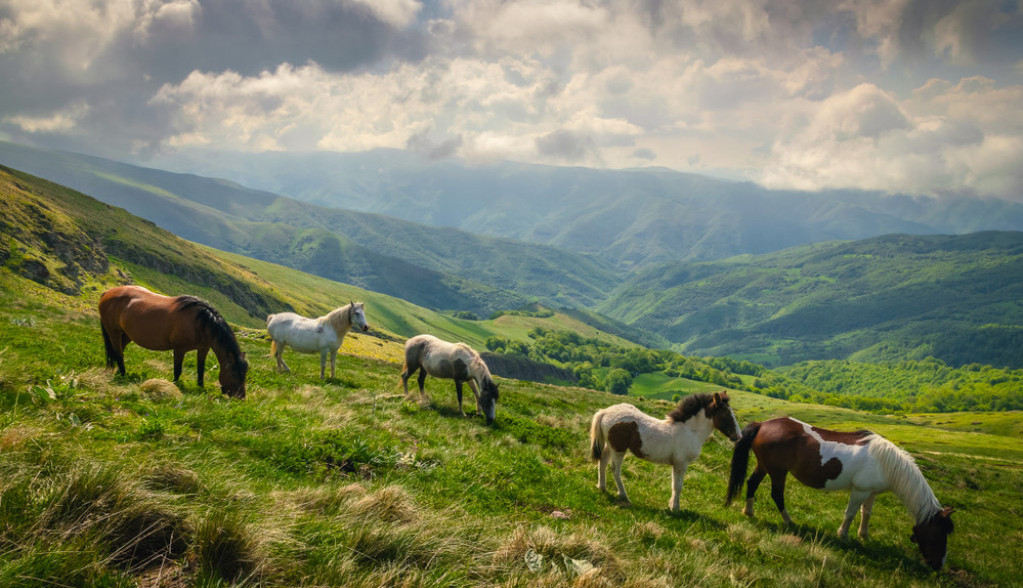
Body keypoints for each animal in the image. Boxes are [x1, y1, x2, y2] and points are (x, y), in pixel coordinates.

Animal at [98, 286, 249, 400]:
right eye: (235, 374)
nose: (241, 397)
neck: (200, 323)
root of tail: (107, 293)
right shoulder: (179, 349)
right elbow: (178, 370)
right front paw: (175, 386)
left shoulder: (203, 348)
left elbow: (200, 368)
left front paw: (201, 387)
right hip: (113, 332)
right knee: (118, 353)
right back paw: (123, 375)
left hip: (127, 334)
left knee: (119, 350)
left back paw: (117, 371)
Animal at [593, 392, 744, 513]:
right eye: (726, 413)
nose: (738, 436)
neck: (690, 431)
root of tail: (605, 412)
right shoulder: (681, 463)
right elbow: (678, 486)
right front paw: (675, 509)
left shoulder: (676, 464)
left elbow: (673, 485)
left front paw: (671, 506)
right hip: (618, 449)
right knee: (615, 469)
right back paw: (624, 495)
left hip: (610, 446)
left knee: (603, 461)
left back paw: (602, 487)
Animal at [724, 417, 953, 572]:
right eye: (939, 533)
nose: (938, 565)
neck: (884, 462)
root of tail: (763, 424)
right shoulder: (860, 491)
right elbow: (850, 514)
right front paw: (843, 535)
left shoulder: (871, 493)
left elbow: (866, 513)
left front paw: (864, 535)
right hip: (778, 472)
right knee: (777, 494)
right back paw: (789, 521)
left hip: (764, 466)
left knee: (752, 484)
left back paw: (749, 512)